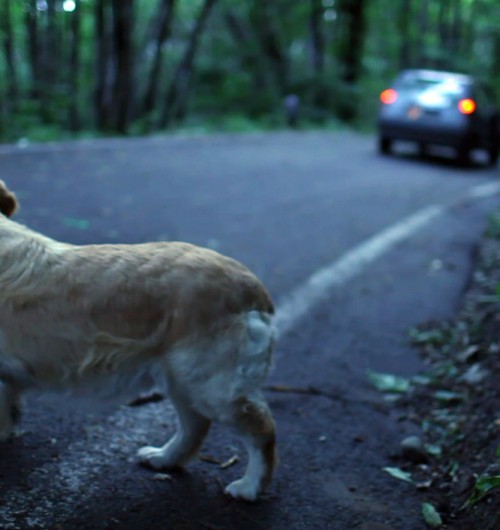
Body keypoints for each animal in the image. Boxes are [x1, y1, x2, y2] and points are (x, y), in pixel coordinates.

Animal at [0, 179, 276, 498]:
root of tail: (254, 289)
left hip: (211, 386)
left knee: (261, 429)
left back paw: (249, 487)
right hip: (181, 379)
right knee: (195, 426)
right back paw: (165, 458)